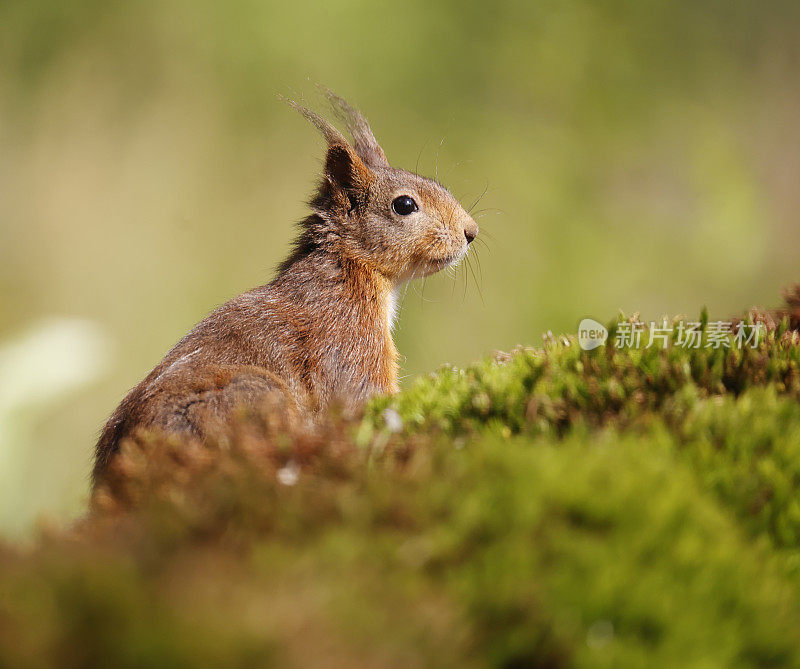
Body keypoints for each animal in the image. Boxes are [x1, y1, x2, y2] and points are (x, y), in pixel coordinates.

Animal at [94, 91, 482, 482]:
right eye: (404, 205)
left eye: (440, 185)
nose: (471, 231)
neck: (349, 269)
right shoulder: (345, 337)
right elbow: (359, 399)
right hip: (253, 396)